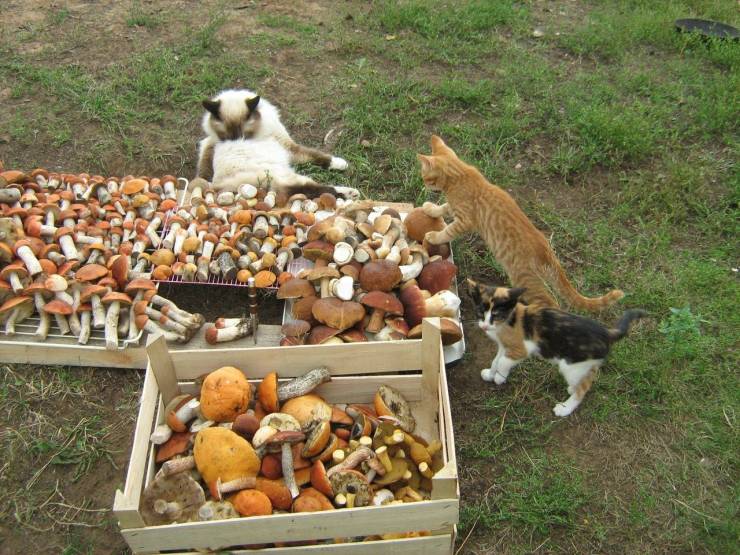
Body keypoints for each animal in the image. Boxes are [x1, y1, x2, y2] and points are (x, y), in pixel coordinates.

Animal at [197, 91, 358, 202]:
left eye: (245, 135)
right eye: (226, 137)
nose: (237, 143)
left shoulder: (288, 148)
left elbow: (317, 157)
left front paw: (341, 164)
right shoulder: (288, 148)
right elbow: (317, 156)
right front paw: (343, 165)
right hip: (281, 177)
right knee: (315, 189)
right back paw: (352, 193)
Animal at [416, 132, 624, 310]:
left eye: (425, 177)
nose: (423, 184)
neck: (459, 175)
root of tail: (547, 250)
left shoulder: (465, 221)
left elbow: (448, 231)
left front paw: (434, 236)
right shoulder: (455, 207)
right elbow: (444, 206)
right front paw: (430, 208)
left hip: (524, 277)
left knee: (551, 303)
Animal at [472, 282, 644, 416]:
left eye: (496, 314)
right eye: (480, 312)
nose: (484, 326)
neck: (510, 318)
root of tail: (606, 333)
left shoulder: (522, 349)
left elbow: (502, 362)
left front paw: (500, 377)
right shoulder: (504, 347)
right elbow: (496, 360)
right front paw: (490, 374)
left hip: (570, 366)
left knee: (584, 387)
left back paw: (565, 408)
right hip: (584, 361)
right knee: (590, 374)